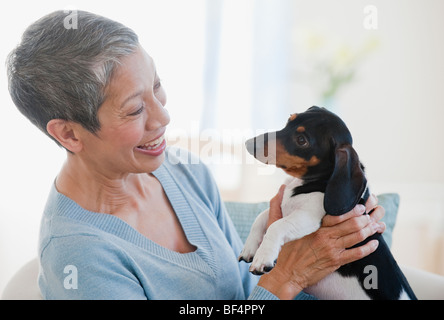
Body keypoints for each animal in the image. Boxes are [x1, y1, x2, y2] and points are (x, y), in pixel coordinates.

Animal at [239, 107, 416, 300]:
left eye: (302, 140)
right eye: (289, 120)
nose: (249, 143)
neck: (308, 181)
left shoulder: (307, 216)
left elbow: (276, 226)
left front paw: (263, 257)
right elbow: (260, 218)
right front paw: (249, 248)